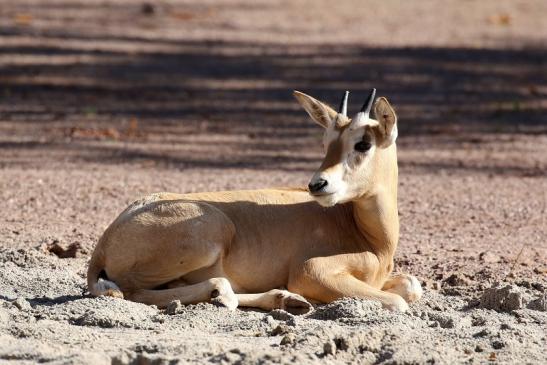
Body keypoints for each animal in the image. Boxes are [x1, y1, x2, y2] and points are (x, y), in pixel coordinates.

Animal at [89, 89, 424, 312]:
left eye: (363, 143)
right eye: (326, 142)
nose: (317, 184)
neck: (369, 236)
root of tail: (106, 242)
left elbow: (412, 286)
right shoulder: (311, 271)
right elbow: (398, 301)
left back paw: (285, 299)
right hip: (209, 235)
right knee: (134, 291)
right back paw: (224, 293)